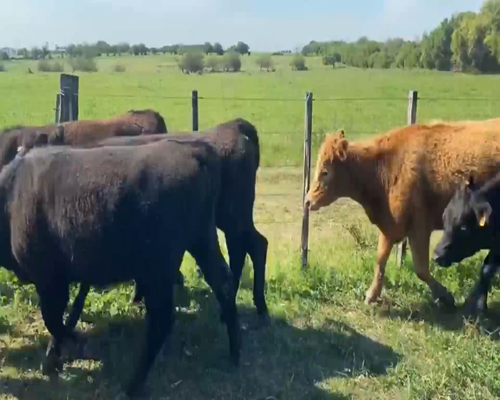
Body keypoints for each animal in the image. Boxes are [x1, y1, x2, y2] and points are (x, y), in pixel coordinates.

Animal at [0, 141, 240, 396]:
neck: (12, 195)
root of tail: (193, 149)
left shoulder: (49, 279)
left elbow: (54, 320)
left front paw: (72, 346)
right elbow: (61, 318)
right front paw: (53, 358)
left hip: (159, 270)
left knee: (161, 320)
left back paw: (132, 384)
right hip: (200, 241)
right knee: (223, 284)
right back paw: (234, 355)